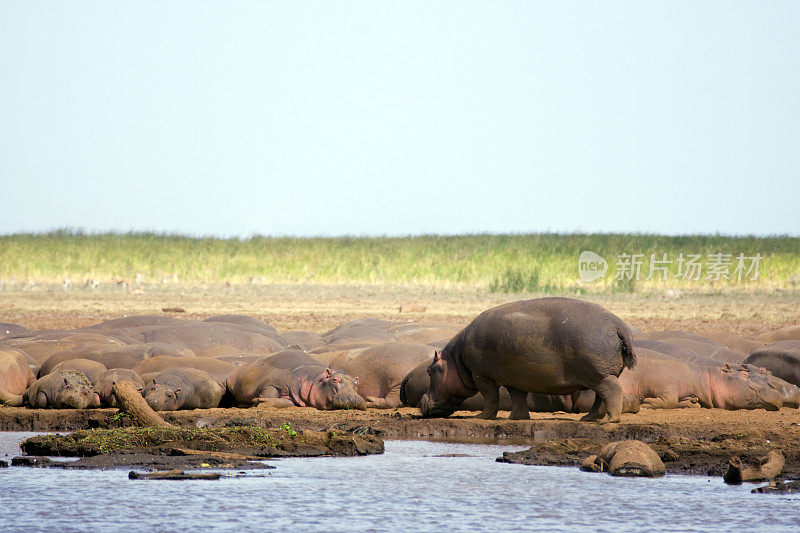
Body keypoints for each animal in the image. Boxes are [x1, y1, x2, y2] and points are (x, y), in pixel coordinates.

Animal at [223, 352, 364, 410]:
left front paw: (258, 401)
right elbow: (269, 391)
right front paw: (257, 401)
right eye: (334, 379)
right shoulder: (274, 383)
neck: (314, 379)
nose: (355, 398)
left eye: (356, 383)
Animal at [418, 298, 636, 422]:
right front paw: (516, 418)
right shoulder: (514, 378)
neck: (455, 358)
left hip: (600, 374)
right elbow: (518, 397)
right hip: (601, 374)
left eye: (429, 370)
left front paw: (483, 417)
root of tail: (618, 325)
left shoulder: (482, 376)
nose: (421, 402)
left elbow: (491, 397)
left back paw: (609, 421)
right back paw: (588, 418)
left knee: (612, 391)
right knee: (601, 397)